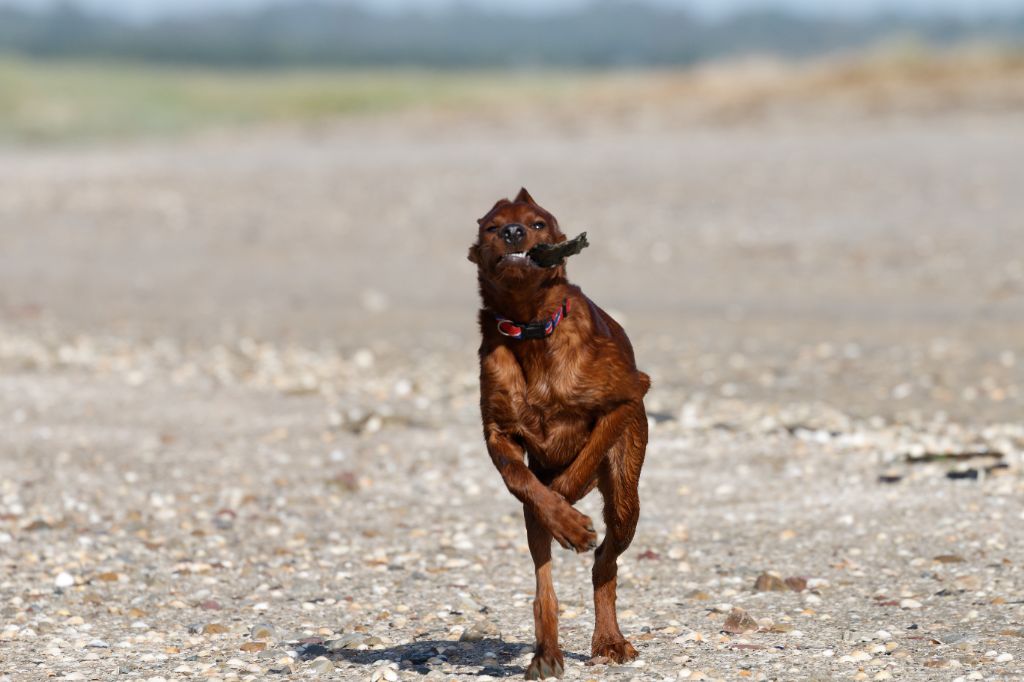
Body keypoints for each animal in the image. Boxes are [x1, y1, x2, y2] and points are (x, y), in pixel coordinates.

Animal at [468, 188, 651, 675]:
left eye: (537, 223)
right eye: (493, 227)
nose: (514, 233)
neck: (531, 329)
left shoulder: (628, 398)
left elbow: (584, 458)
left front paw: (569, 511)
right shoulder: (498, 432)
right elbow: (522, 481)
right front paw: (562, 516)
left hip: (625, 498)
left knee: (605, 562)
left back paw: (609, 639)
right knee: (543, 577)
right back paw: (547, 651)